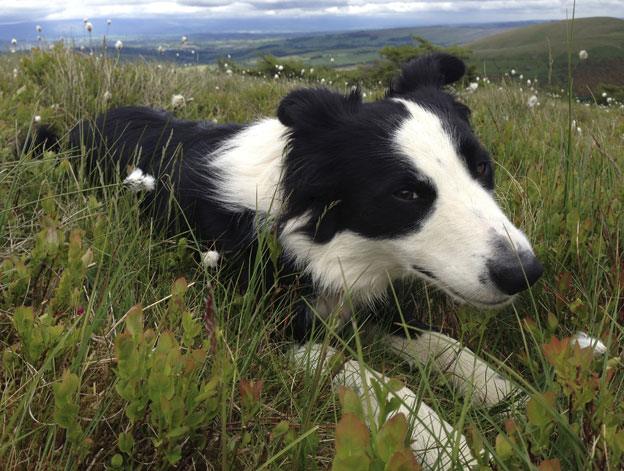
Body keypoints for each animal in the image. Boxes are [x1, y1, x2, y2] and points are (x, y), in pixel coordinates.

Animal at [70, 54, 544, 468]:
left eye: (482, 168)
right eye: (405, 193)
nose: (523, 273)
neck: (315, 234)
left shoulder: (371, 303)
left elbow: (449, 347)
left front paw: (520, 400)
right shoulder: (275, 331)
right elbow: (376, 381)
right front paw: (455, 448)